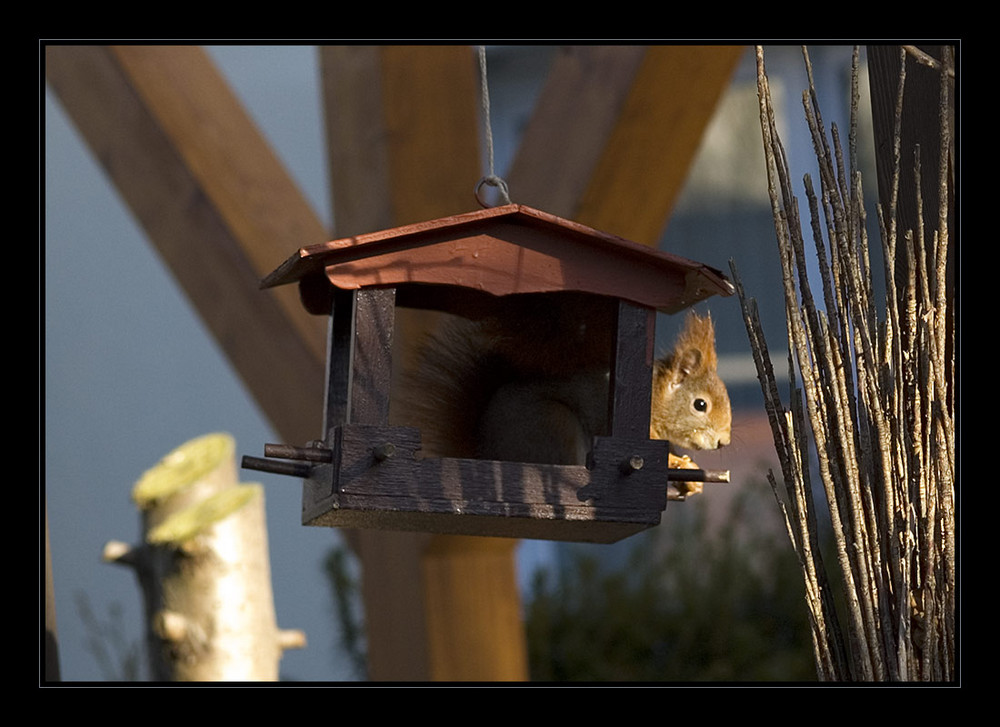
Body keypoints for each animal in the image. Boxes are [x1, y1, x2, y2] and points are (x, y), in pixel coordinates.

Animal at [394, 296, 732, 494]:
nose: (723, 442)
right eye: (700, 404)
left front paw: (689, 472)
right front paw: (675, 463)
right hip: (553, 424)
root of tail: (483, 453)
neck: (656, 398)